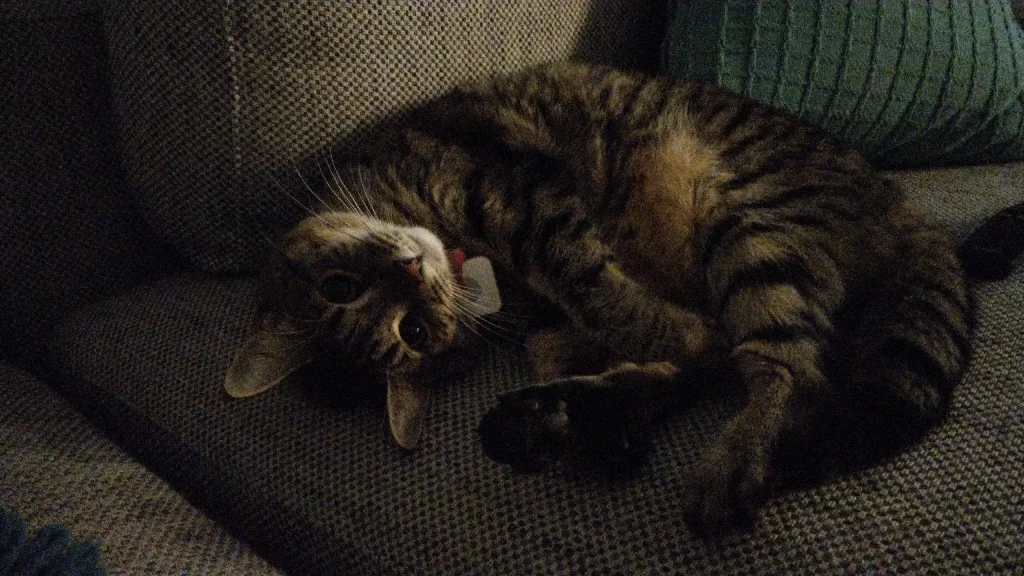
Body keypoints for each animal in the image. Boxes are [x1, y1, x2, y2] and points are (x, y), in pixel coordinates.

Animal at [222, 61, 966, 532]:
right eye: (417, 336)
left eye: (339, 288)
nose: (412, 269)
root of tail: (899, 203)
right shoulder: (540, 283)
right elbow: (610, 319)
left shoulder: (517, 193)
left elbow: (595, 284)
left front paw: (668, 332)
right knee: (740, 368)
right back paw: (578, 422)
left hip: (751, 221)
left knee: (790, 371)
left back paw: (722, 464)